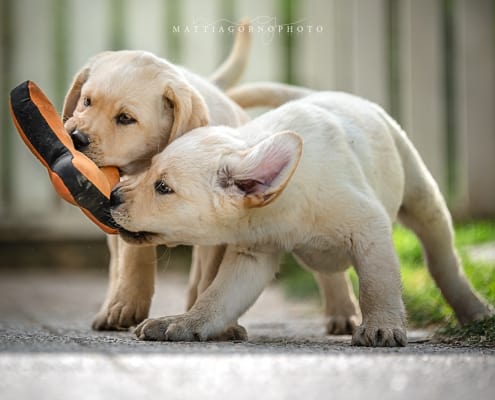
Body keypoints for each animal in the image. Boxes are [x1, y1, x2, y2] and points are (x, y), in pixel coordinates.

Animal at [63, 27, 252, 332]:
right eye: (86, 101)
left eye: (125, 118)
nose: (75, 137)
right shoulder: (123, 205)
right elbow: (133, 252)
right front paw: (128, 304)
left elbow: (212, 275)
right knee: (116, 265)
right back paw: (111, 307)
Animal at [110, 89, 494, 346]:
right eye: (149, 169)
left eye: (163, 187)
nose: (113, 196)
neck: (284, 203)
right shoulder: (252, 256)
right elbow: (217, 296)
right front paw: (185, 322)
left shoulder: (370, 229)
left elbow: (377, 284)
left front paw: (381, 326)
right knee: (330, 274)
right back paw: (340, 311)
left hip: (421, 196)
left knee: (442, 259)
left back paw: (473, 308)